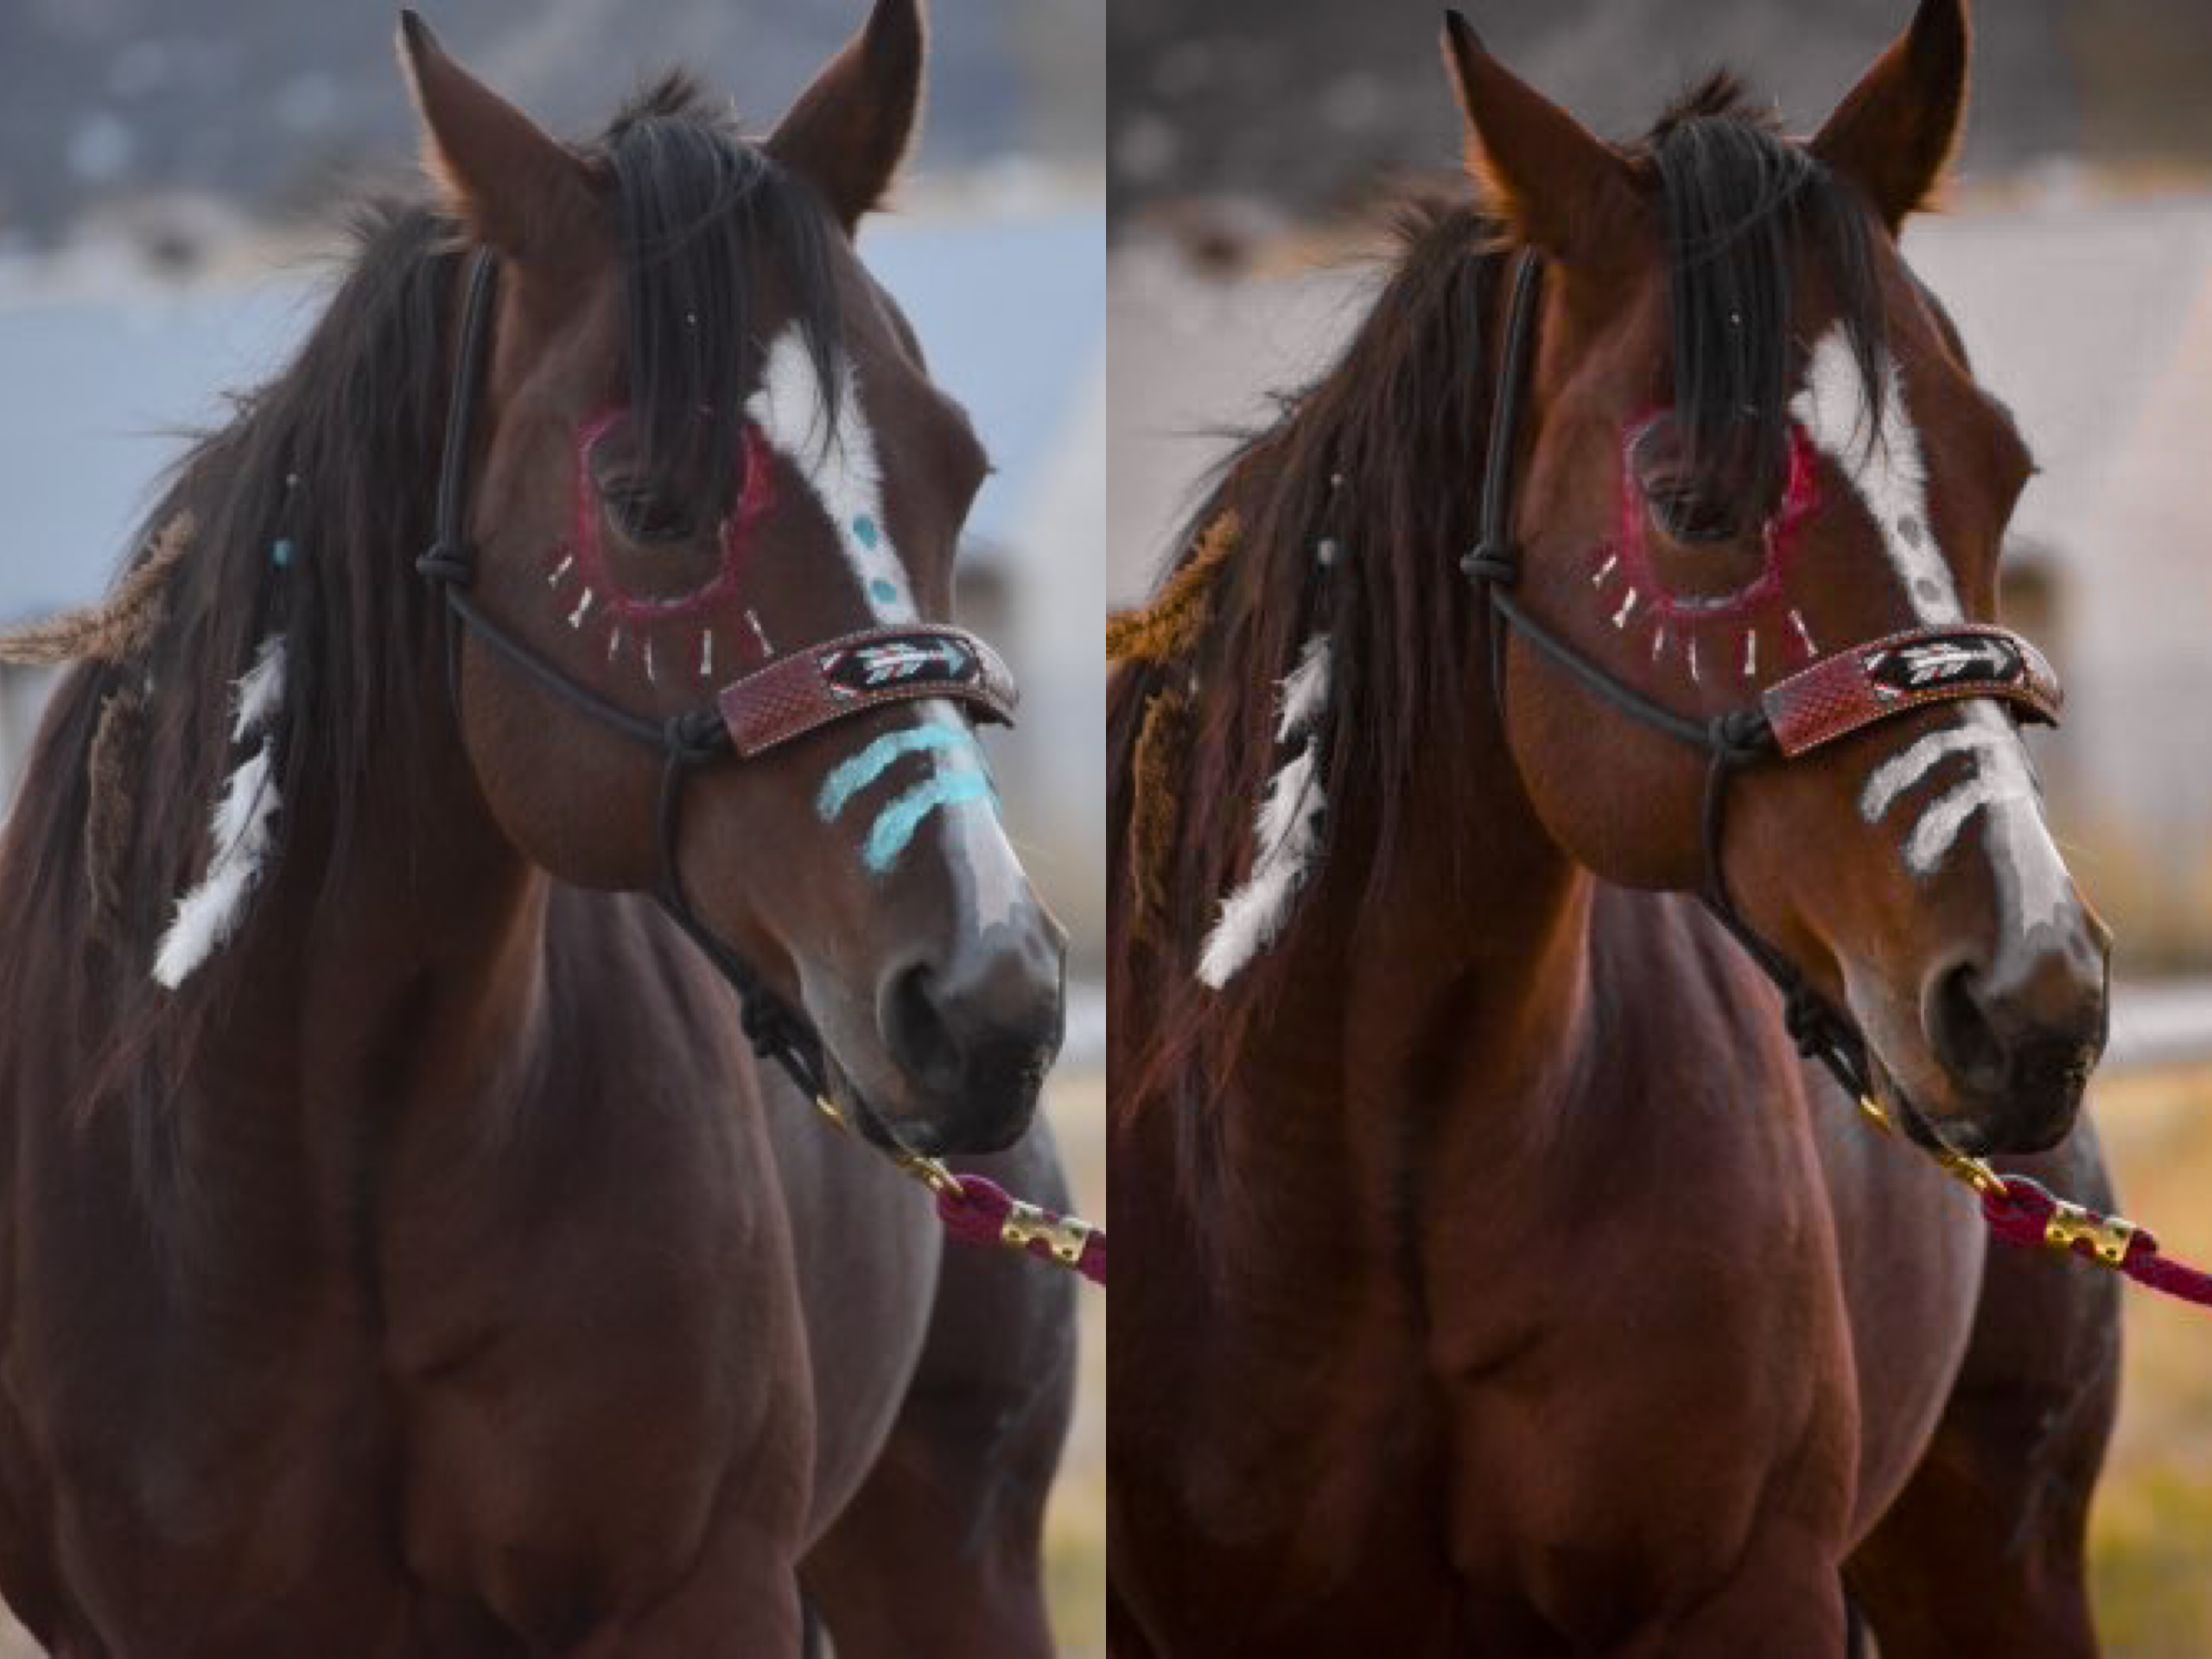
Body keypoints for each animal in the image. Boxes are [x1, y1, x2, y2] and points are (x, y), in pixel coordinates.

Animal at [0, 2, 1080, 1652]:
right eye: (642, 503)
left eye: (957, 468)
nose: (993, 1001)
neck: (319, 1153)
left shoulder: (701, 1591)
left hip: (957, 1554)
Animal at [1107, 2, 2122, 1652]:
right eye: (1692, 502)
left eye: (2007, 470)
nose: (2036, 995)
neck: (1384, 1157)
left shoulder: (1747, 1593)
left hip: (2000, 1559)